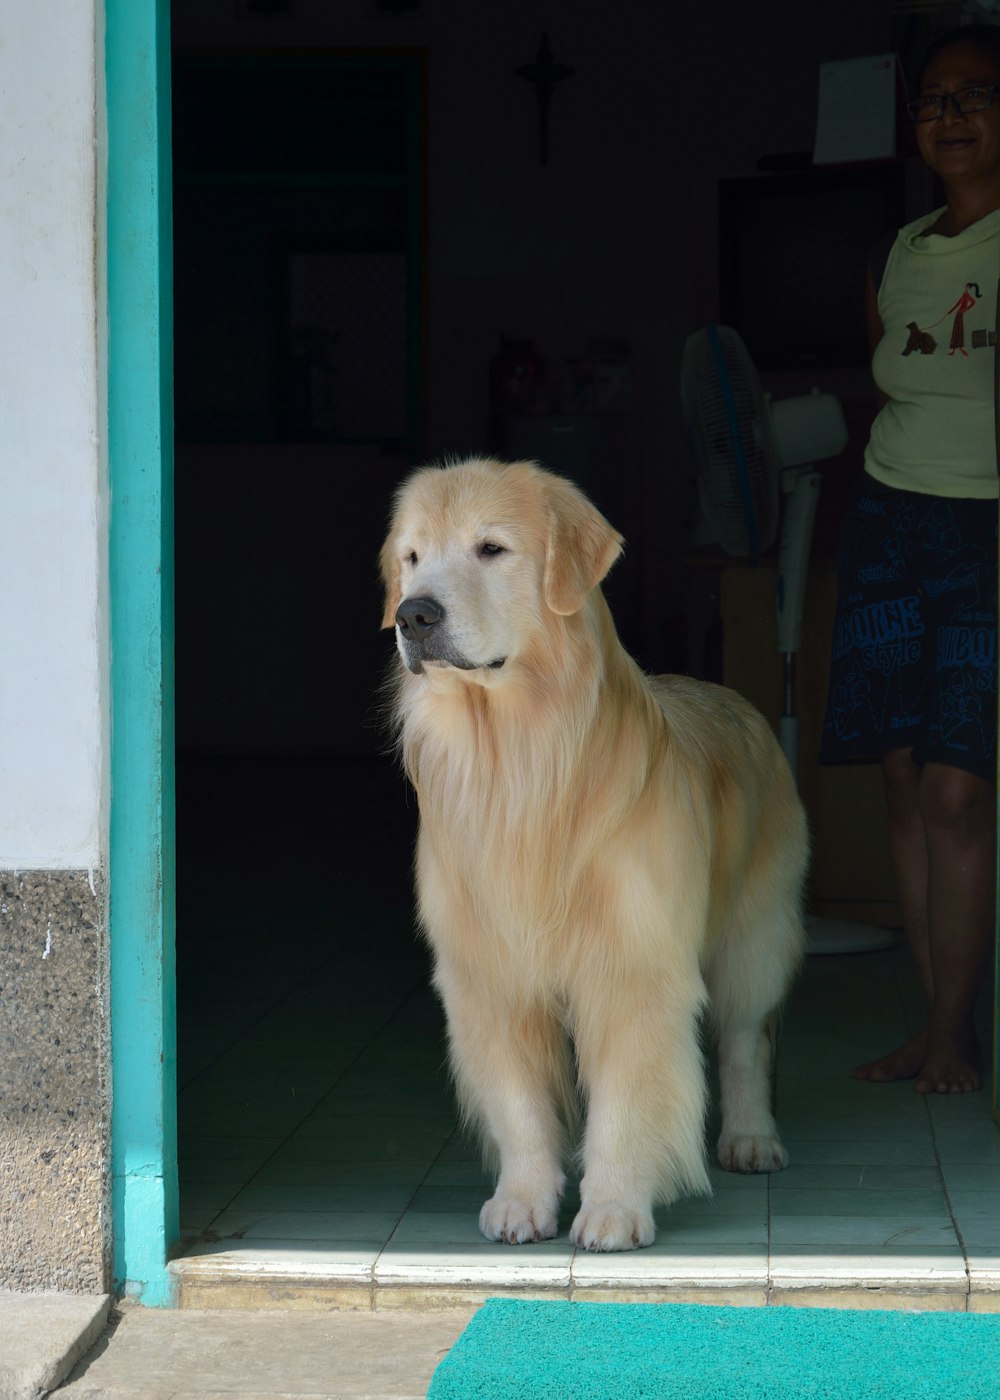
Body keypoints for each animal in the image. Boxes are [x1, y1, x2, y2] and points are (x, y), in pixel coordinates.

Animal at [378, 462, 806, 1260]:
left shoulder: (633, 966)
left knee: (745, 1041)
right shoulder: (488, 974)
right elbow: (519, 1103)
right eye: (413, 557)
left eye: (491, 549)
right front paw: (522, 1199)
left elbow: (628, 1101)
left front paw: (612, 1209)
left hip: (755, 933)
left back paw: (751, 1138)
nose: (412, 616)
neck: (519, 760)